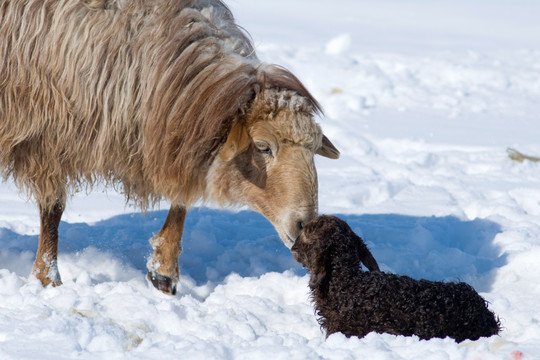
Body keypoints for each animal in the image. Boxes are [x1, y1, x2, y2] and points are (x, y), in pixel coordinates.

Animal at [0, 0, 338, 296]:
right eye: (263, 147)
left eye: (313, 148)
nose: (306, 225)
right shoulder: (48, 135)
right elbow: (53, 209)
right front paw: (48, 278)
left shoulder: (175, 132)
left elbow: (182, 198)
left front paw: (163, 269)